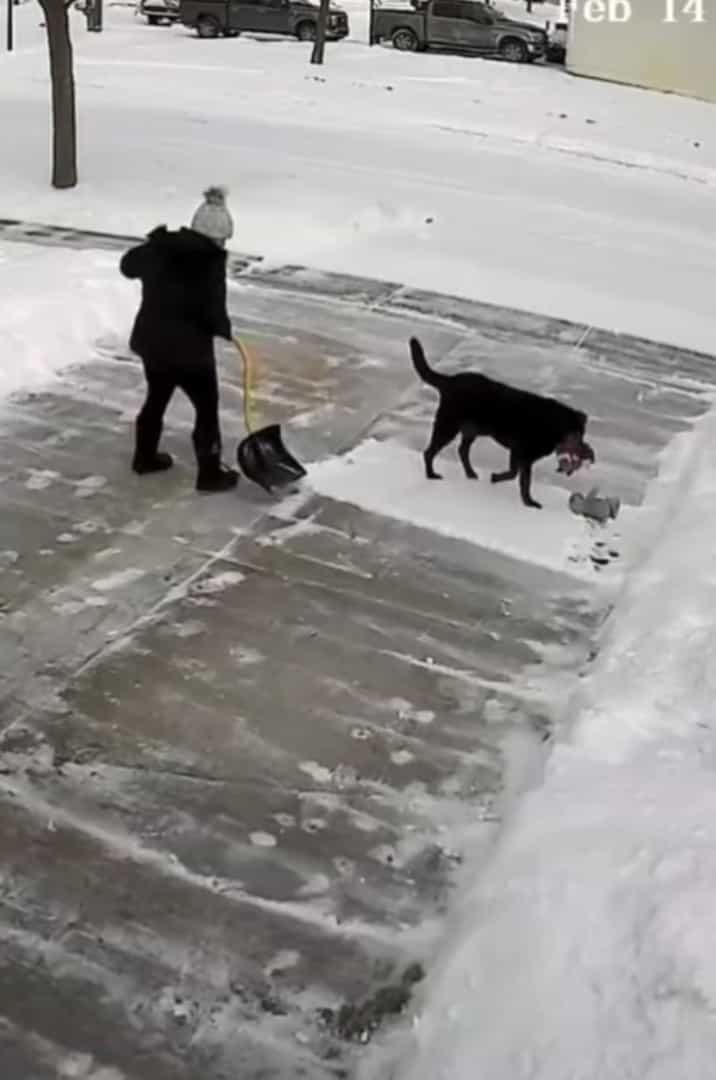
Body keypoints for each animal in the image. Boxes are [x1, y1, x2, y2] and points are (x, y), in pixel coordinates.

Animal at [412, 334, 596, 507]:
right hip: (448, 425)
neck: (554, 424)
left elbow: (516, 474)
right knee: (430, 452)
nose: (584, 449)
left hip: (471, 430)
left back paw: (470, 473)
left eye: (581, 434)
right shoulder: (521, 453)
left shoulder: (520, 455)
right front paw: (528, 502)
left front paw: (498, 480)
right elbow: (521, 479)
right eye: (576, 435)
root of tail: (450, 380)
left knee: (462, 450)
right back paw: (431, 475)